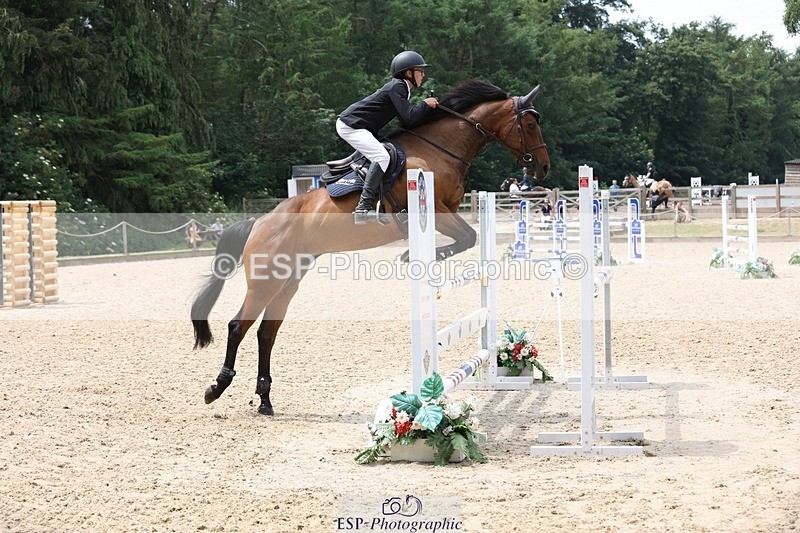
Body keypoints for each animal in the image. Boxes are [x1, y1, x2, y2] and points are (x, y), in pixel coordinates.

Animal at [190, 80, 550, 415]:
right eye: (531, 124)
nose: (543, 167)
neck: (442, 149)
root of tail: (258, 223)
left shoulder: (446, 209)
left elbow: (469, 238)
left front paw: (415, 256)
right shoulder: (432, 209)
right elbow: (466, 238)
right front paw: (412, 256)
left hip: (288, 280)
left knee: (266, 332)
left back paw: (265, 400)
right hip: (264, 282)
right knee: (238, 326)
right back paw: (216, 388)